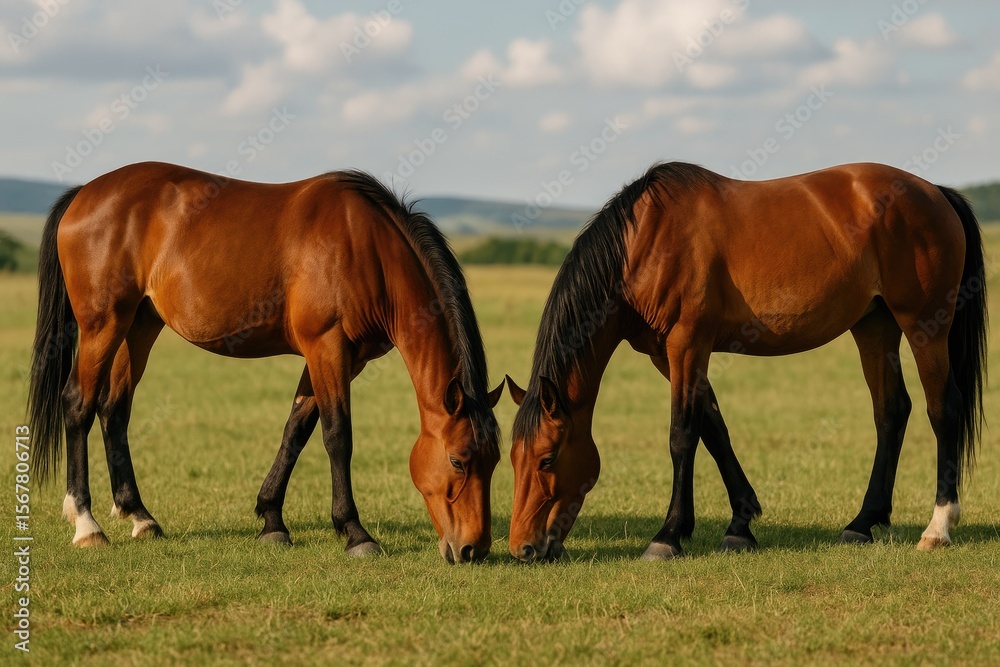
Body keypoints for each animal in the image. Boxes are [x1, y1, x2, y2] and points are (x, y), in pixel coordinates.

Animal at [27, 162, 503, 563]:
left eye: (496, 459)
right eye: (458, 461)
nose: (473, 550)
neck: (366, 246)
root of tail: (84, 193)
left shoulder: (338, 359)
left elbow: (296, 430)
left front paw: (272, 520)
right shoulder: (326, 347)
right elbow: (337, 436)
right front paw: (354, 531)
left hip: (139, 326)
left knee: (114, 410)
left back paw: (140, 516)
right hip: (102, 326)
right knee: (79, 404)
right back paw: (86, 524)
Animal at [506, 161, 987, 562]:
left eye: (547, 459)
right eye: (512, 458)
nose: (523, 548)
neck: (646, 242)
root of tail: (935, 192)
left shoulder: (688, 344)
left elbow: (683, 435)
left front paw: (668, 536)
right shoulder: (667, 354)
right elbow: (714, 429)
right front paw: (740, 524)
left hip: (925, 324)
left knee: (942, 409)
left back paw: (938, 527)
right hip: (874, 325)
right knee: (891, 411)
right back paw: (863, 523)